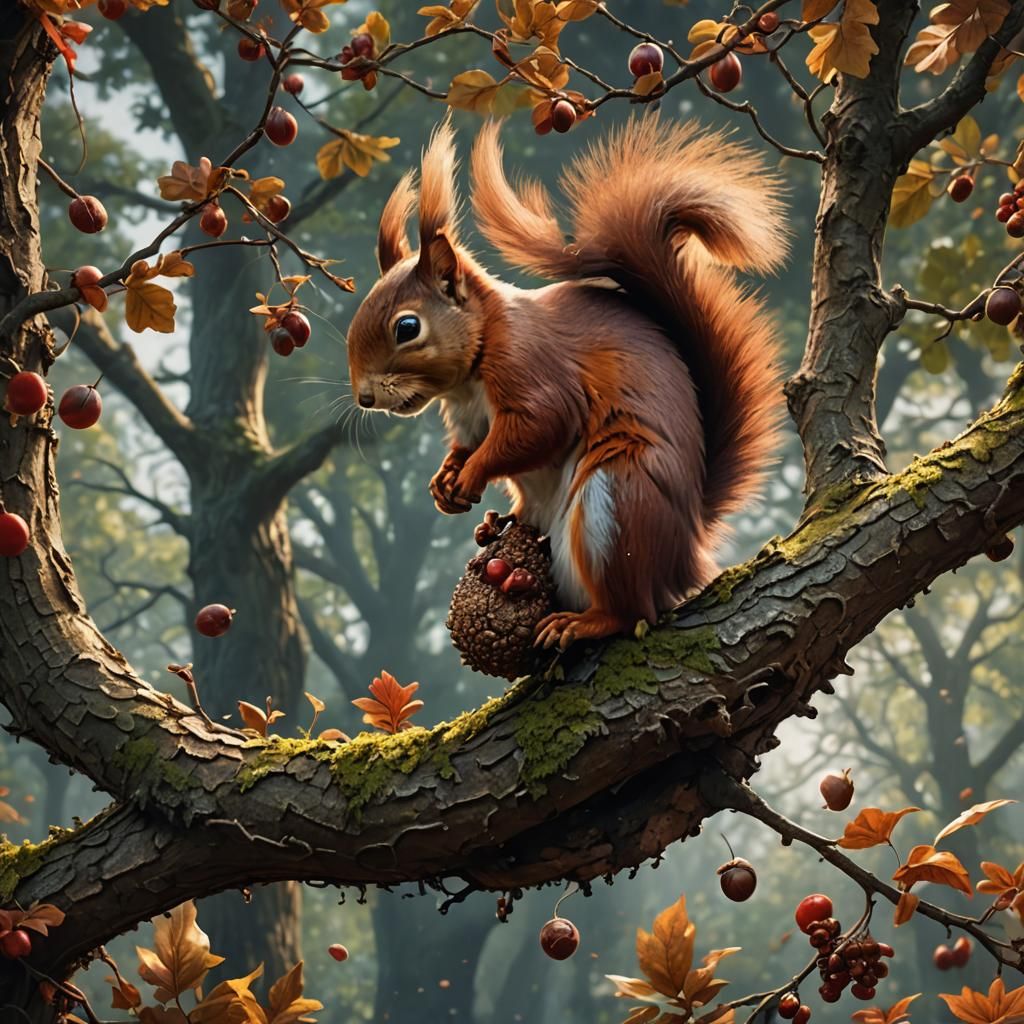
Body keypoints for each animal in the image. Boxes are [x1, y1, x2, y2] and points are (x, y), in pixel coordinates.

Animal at [346, 115, 787, 650]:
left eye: (407, 327)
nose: (365, 397)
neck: (473, 369)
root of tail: (686, 549)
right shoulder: (469, 418)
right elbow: (468, 443)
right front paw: (444, 480)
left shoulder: (534, 366)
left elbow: (539, 427)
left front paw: (471, 474)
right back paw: (494, 528)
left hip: (617, 500)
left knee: (632, 609)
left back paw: (583, 622)